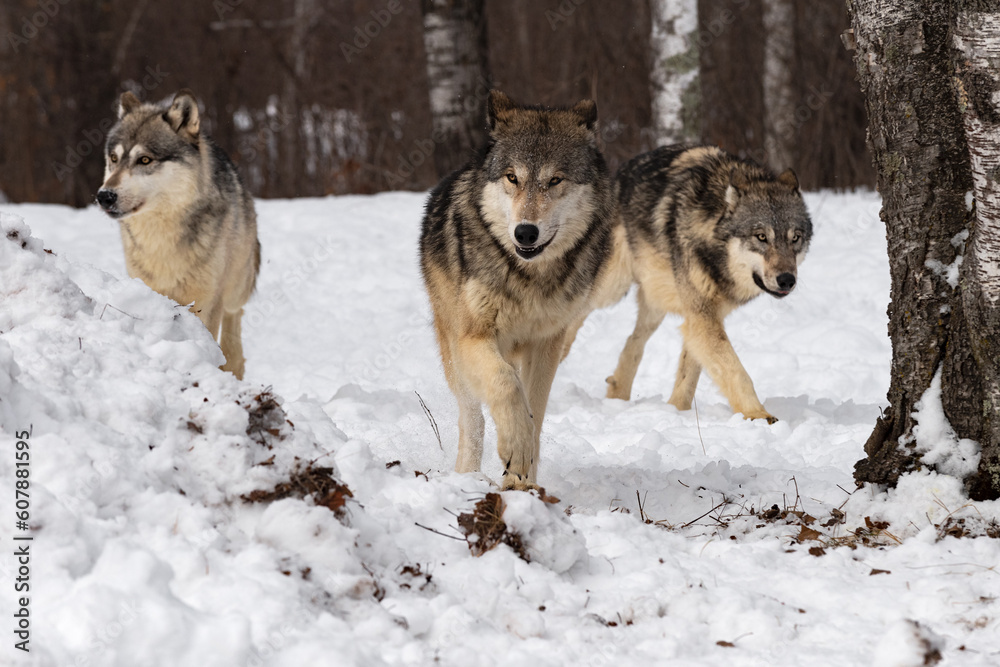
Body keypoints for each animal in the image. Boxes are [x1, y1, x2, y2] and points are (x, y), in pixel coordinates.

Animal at [96, 89, 260, 380]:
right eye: (114, 159)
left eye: (145, 159)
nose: (104, 196)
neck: (162, 238)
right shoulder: (150, 288)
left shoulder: (208, 299)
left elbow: (210, 339)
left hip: (236, 285)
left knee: (235, 315)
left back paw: (233, 365)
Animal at [420, 90, 615, 490]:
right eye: (512, 177)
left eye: (555, 180)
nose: (525, 233)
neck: (529, 278)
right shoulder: (473, 337)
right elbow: (507, 387)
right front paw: (516, 449)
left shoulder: (547, 344)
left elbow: (534, 413)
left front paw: (522, 482)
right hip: (454, 350)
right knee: (473, 418)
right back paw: (466, 475)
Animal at [564, 144, 812, 423]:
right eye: (761, 237)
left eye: (795, 238)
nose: (787, 280)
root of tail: (618, 174)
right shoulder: (703, 317)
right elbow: (737, 371)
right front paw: (757, 415)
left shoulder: (702, 317)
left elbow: (689, 375)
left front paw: (675, 412)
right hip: (610, 289)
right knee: (574, 317)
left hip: (656, 302)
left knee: (633, 341)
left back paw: (618, 396)